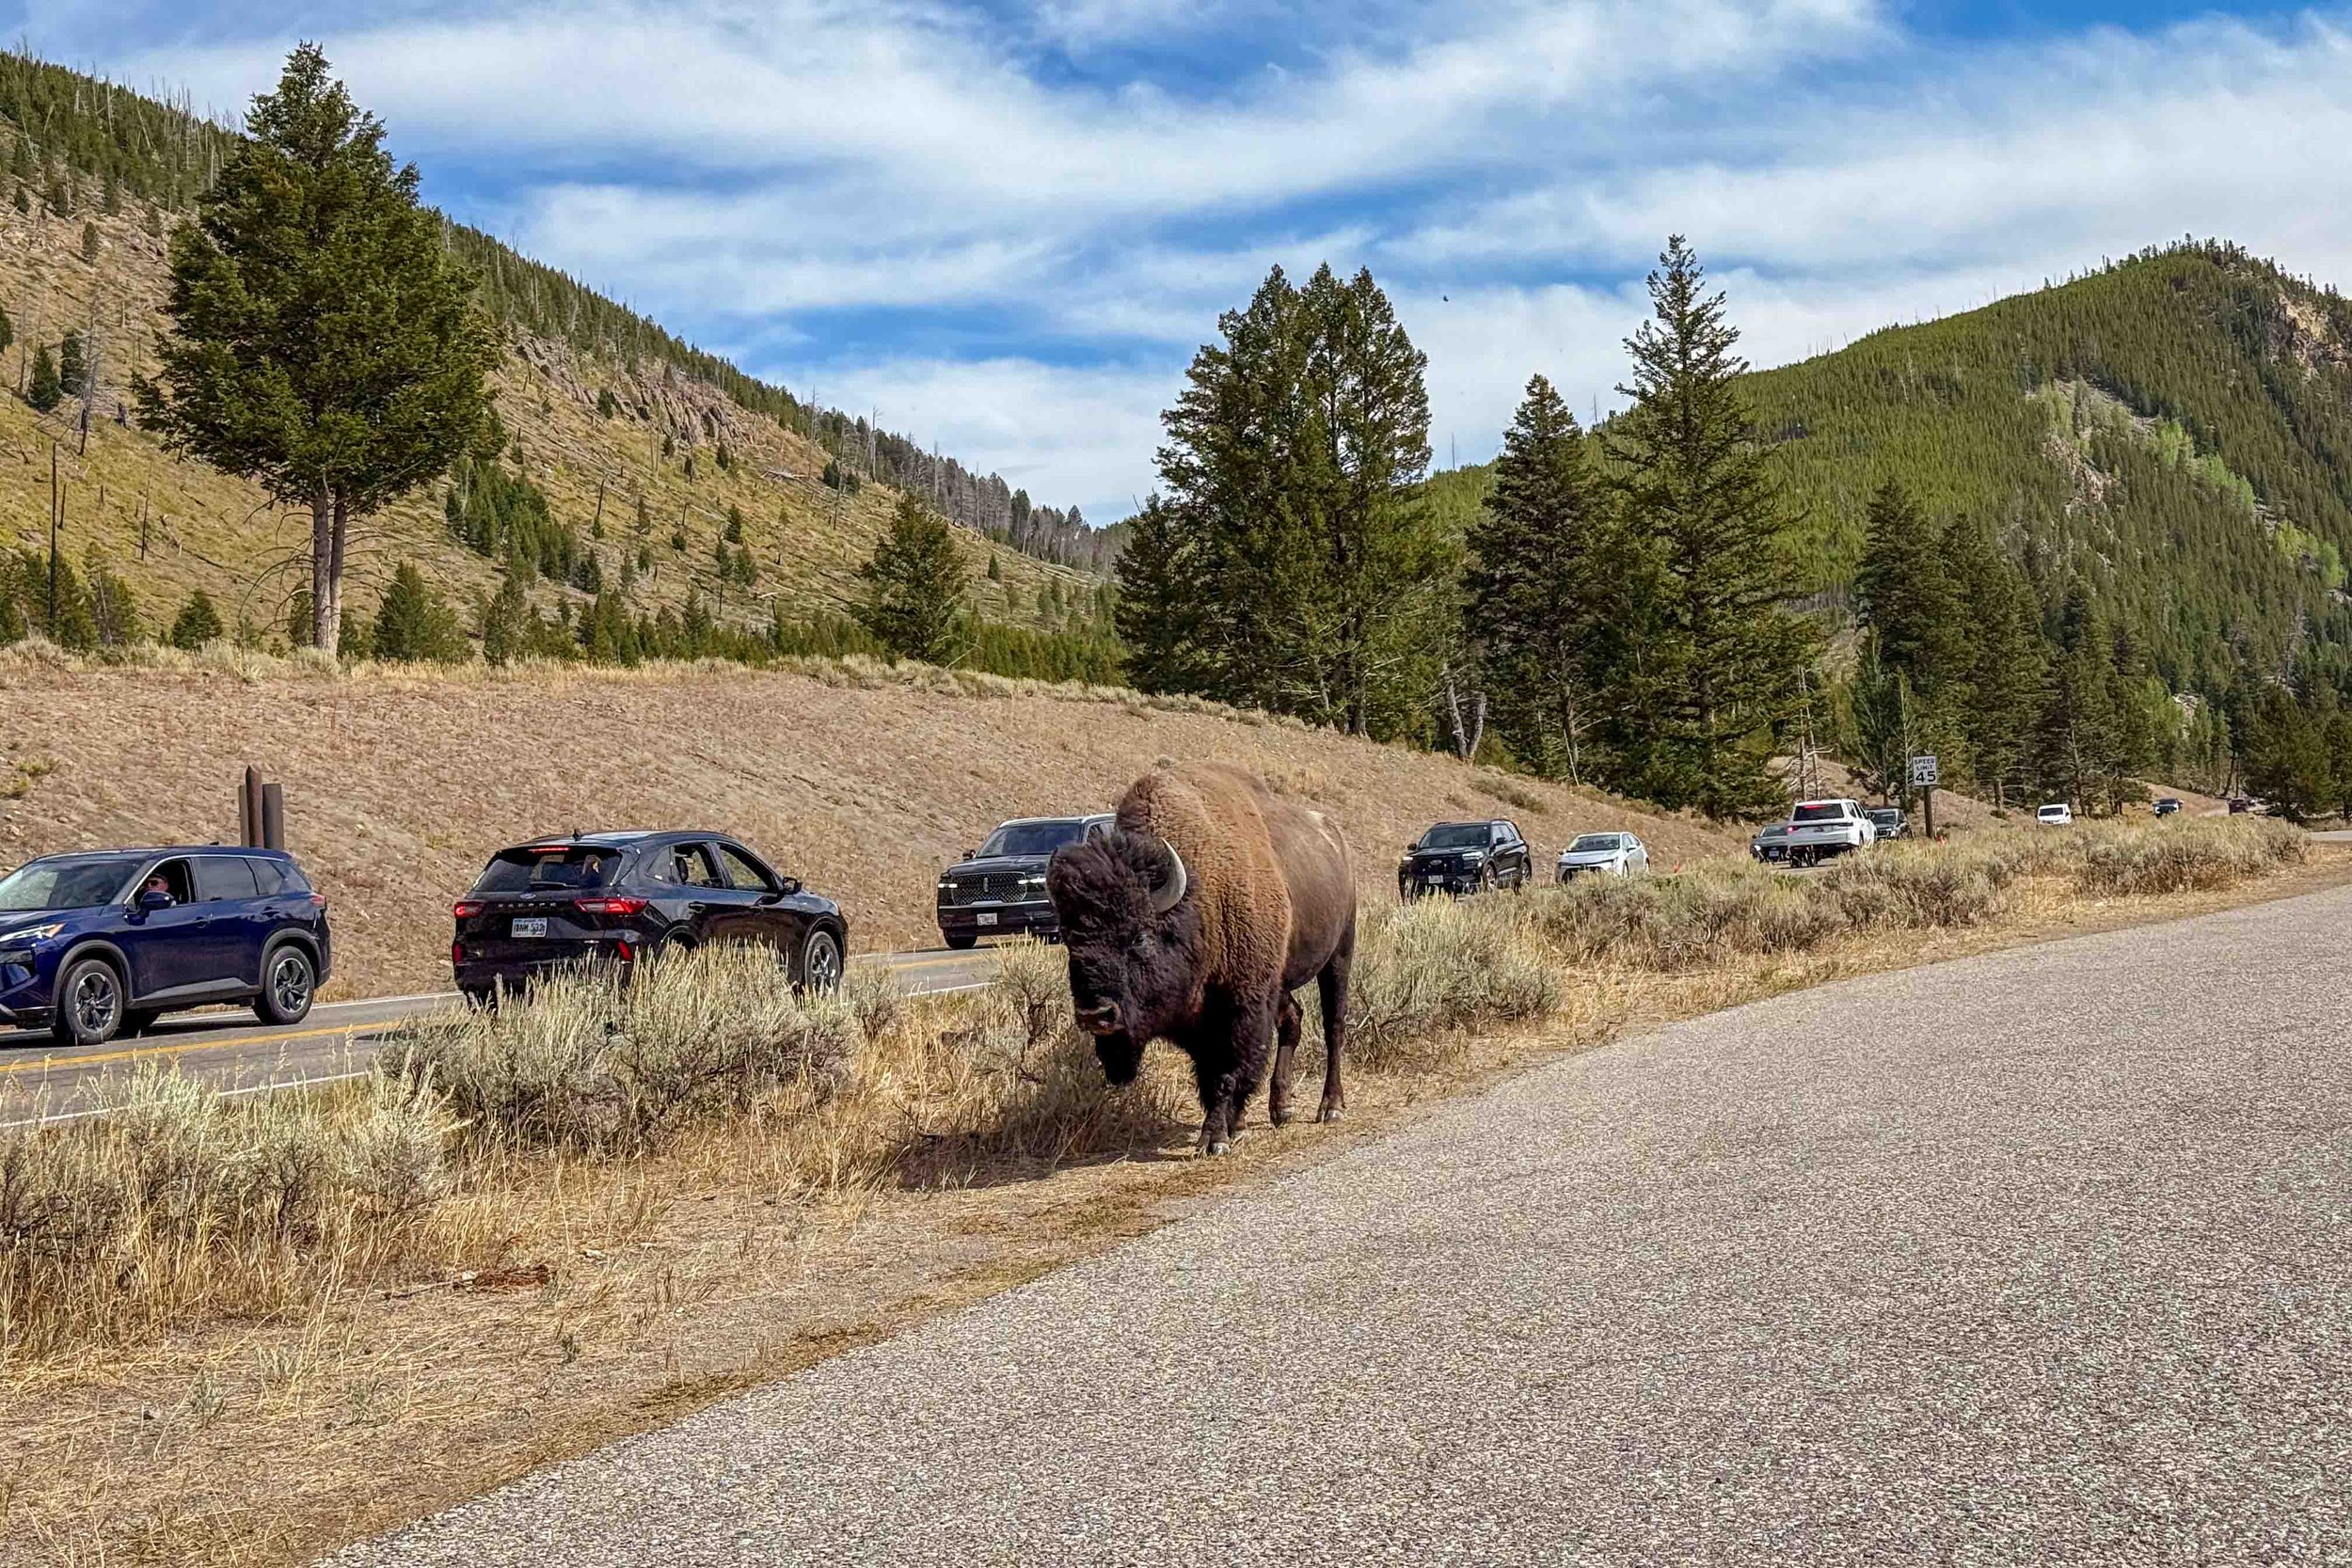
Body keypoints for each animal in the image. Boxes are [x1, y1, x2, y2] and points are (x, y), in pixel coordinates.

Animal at [1044, 762, 1355, 1155]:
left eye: (1140, 937)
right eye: (1071, 941)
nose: (1095, 1015)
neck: (1197, 898)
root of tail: (1336, 838)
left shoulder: (1239, 1004)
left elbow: (1226, 1070)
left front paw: (1215, 1138)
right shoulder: (1210, 1013)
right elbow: (1210, 1073)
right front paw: (1232, 1126)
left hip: (1339, 954)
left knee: (1333, 1026)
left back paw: (1331, 1107)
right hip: (1281, 979)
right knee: (1293, 1021)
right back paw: (1280, 1109)